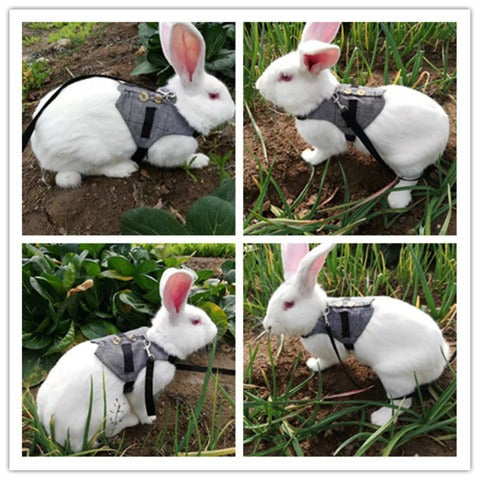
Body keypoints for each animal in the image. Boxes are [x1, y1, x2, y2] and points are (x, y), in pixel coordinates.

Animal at [28, 22, 234, 188]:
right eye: (214, 95)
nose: (233, 110)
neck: (180, 109)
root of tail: (37, 143)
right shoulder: (166, 149)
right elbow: (180, 160)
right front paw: (201, 160)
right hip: (90, 151)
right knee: (92, 169)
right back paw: (125, 168)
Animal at [36, 268, 217, 452]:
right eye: (196, 321)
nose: (215, 330)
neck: (159, 344)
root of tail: (50, 425)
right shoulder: (142, 389)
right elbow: (141, 409)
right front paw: (149, 420)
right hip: (109, 411)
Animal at [256, 23, 448, 208]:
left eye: (285, 77)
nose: (258, 86)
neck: (321, 101)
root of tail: (444, 138)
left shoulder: (326, 143)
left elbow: (322, 153)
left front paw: (309, 157)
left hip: (406, 162)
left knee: (410, 179)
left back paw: (397, 201)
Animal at [262, 246, 450, 426]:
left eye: (288, 304)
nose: (266, 325)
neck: (320, 316)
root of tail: (439, 361)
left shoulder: (331, 350)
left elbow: (327, 361)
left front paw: (313, 365)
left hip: (394, 376)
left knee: (402, 403)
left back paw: (379, 419)